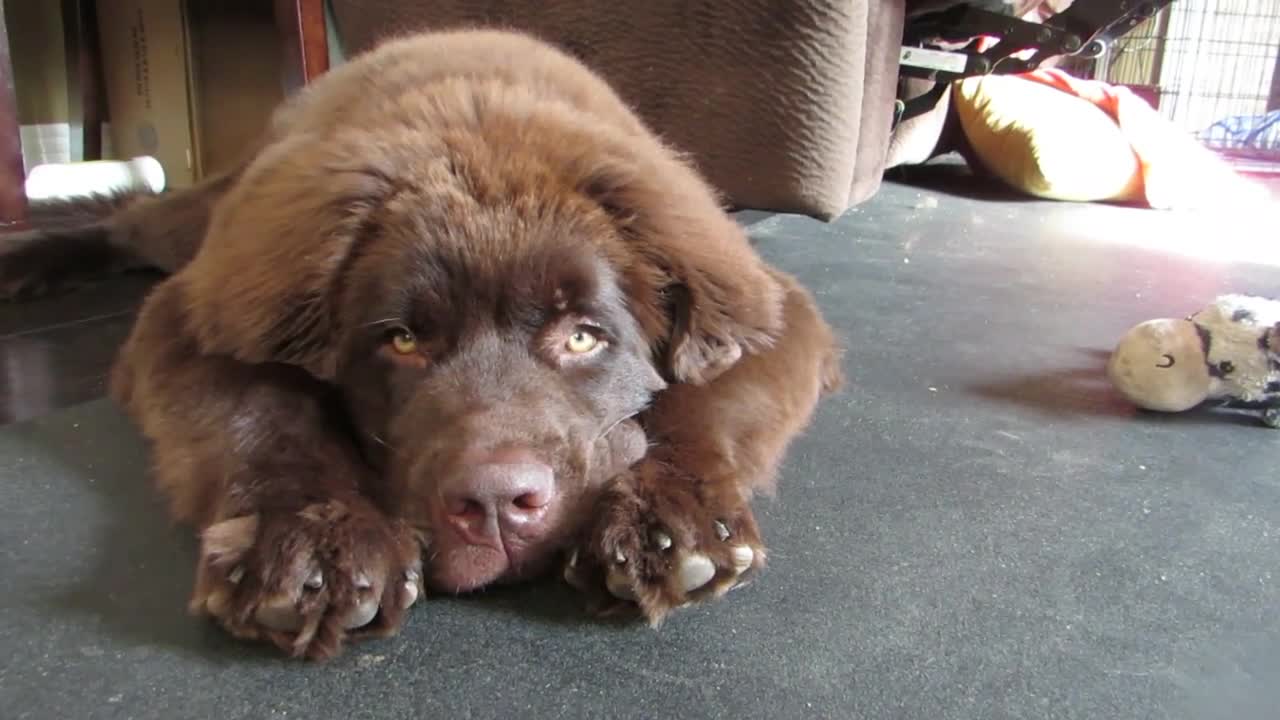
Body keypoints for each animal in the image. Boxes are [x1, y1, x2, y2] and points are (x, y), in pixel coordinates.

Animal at [0, 29, 844, 655]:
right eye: (402, 342)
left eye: (582, 338)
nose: (498, 504)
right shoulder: (202, 310)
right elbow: (261, 409)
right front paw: (309, 543)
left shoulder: (763, 305)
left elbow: (706, 401)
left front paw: (672, 519)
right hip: (204, 226)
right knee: (129, 215)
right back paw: (30, 259)